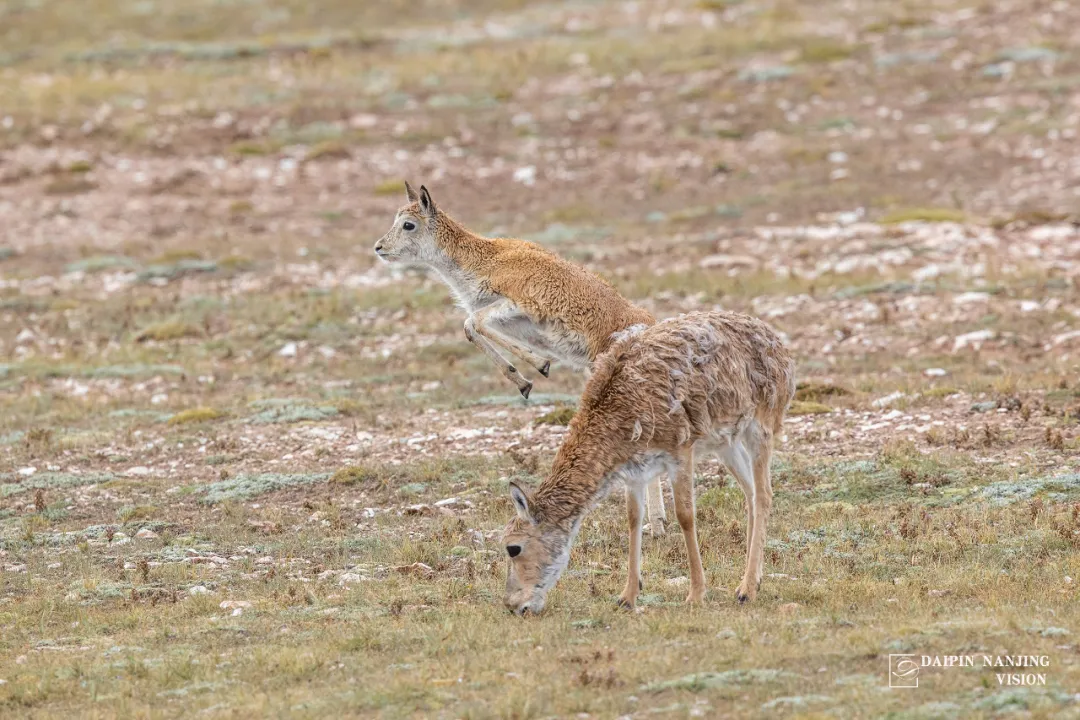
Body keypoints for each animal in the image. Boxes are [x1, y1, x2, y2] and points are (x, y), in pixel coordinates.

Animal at [373, 184, 673, 535]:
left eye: (408, 224)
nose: (379, 247)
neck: (486, 259)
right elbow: (470, 326)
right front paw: (527, 377)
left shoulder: (516, 304)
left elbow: (474, 322)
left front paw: (537, 368)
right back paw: (656, 522)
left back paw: (656, 524)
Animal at [501, 310, 799, 613]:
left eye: (513, 547)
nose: (512, 605)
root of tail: (779, 345)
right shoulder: (636, 472)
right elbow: (634, 519)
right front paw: (628, 595)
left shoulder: (680, 452)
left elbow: (685, 516)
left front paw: (696, 593)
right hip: (726, 443)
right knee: (750, 493)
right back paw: (754, 578)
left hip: (761, 428)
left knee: (764, 494)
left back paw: (747, 589)